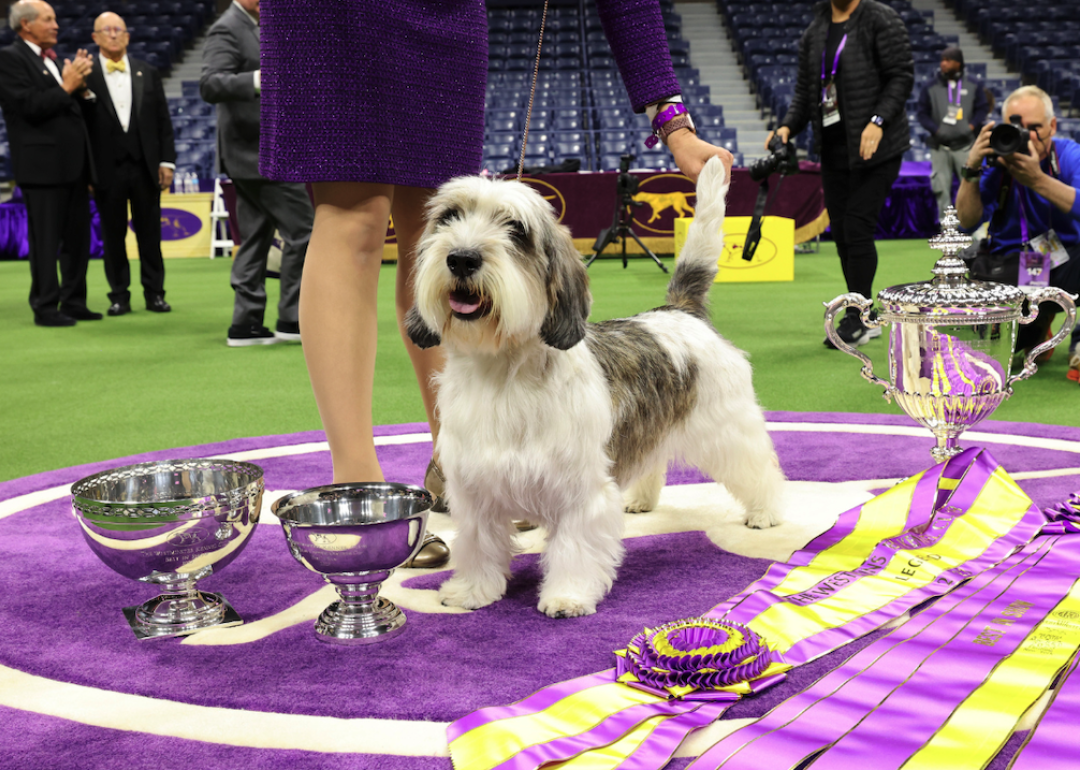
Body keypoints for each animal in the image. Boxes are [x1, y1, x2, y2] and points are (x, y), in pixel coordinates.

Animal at [406, 157, 786, 617]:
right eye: (449, 218)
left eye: (516, 230)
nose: (462, 258)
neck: (505, 373)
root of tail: (679, 309)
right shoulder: (476, 487)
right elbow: (479, 545)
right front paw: (473, 591)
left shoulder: (579, 490)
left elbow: (574, 547)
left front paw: (567, 595)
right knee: (653, 457)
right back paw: (642, 498)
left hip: (728, 427)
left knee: (758, 467)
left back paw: (765, 511)